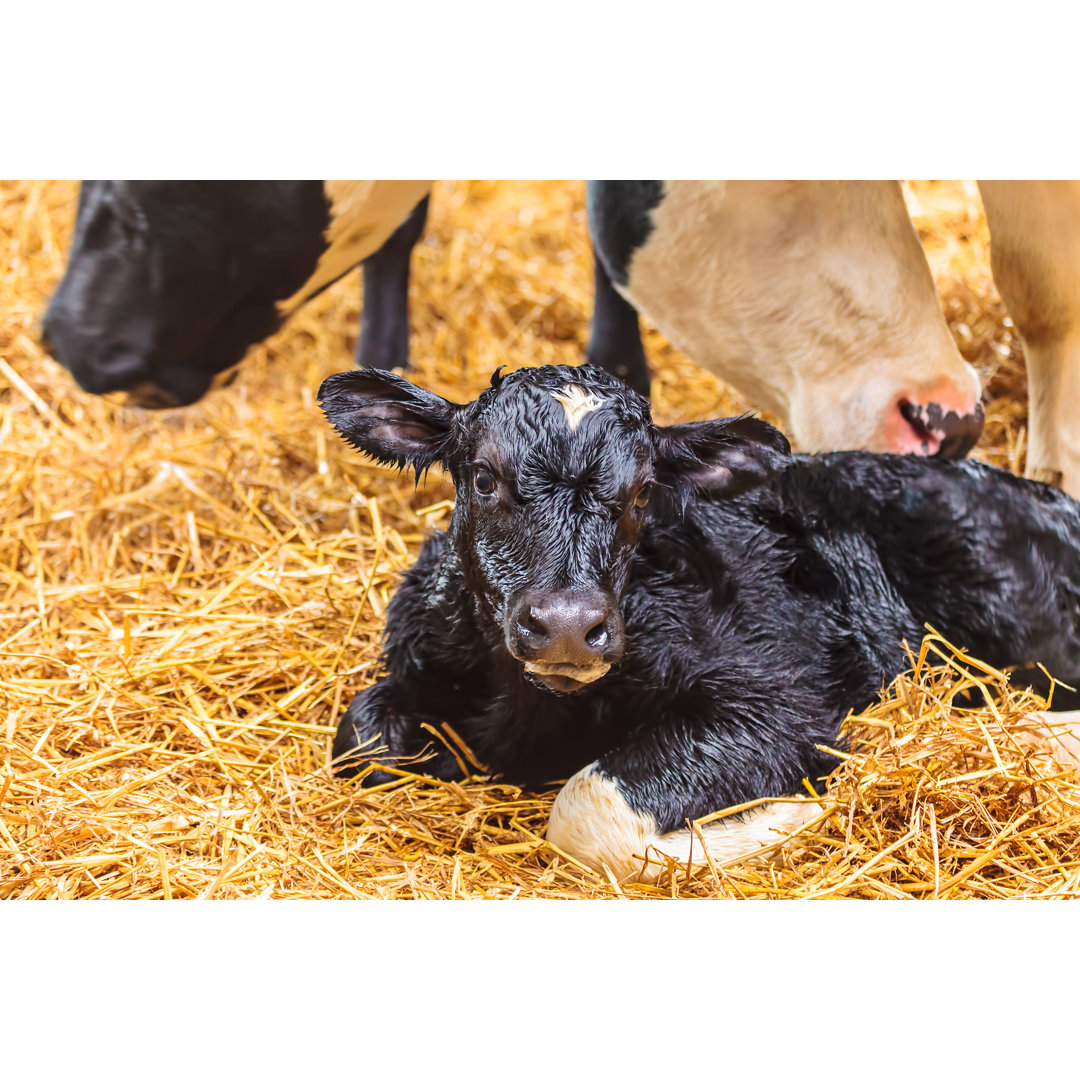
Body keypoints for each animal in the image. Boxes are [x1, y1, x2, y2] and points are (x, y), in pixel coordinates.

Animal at [317, 362, 1080, 876]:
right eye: (483, 479)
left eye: (642, 493)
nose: (566, 624)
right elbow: (361, 741)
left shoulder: (780, 699)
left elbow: (587, 808)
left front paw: (796, 812)